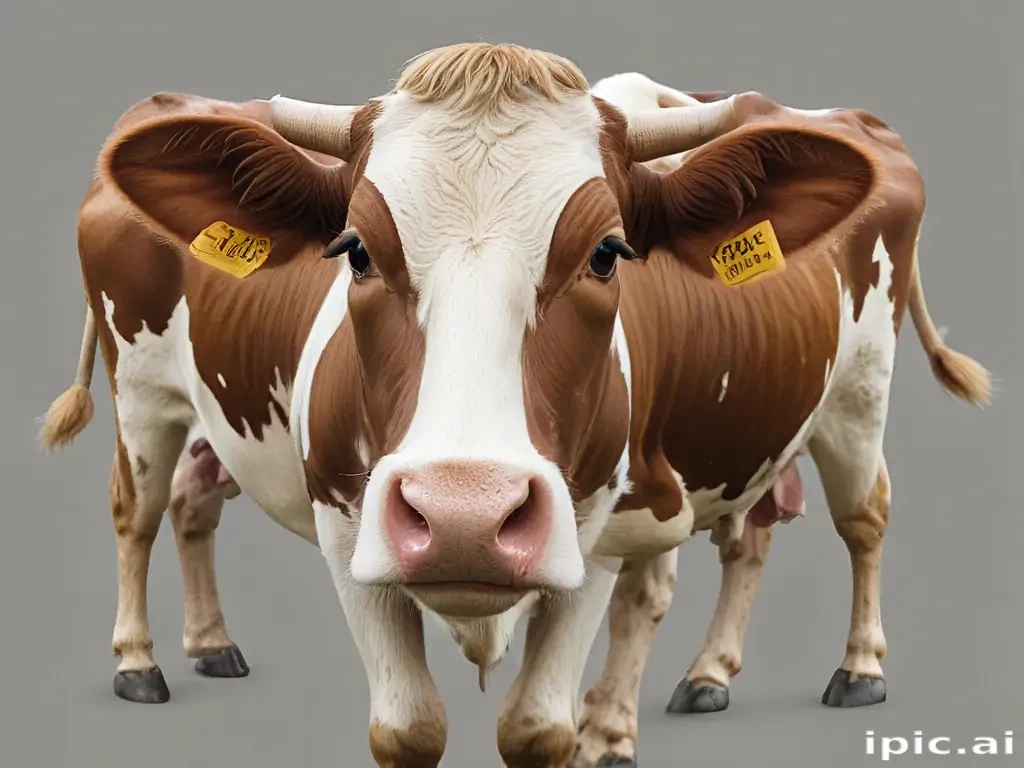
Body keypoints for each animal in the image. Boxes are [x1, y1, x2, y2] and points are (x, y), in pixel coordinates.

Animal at [40, 43, 990, 768]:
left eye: (608, 253)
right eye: (355, 249)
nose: (464, 513)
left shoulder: (597, 524)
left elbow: (541, 725)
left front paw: (601, 730)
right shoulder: (345, 522)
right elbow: (408, 728)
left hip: (856, 392)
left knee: (857, 517)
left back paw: (852, 669)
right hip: (147, 393)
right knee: (150, 507)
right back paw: (153, 659)